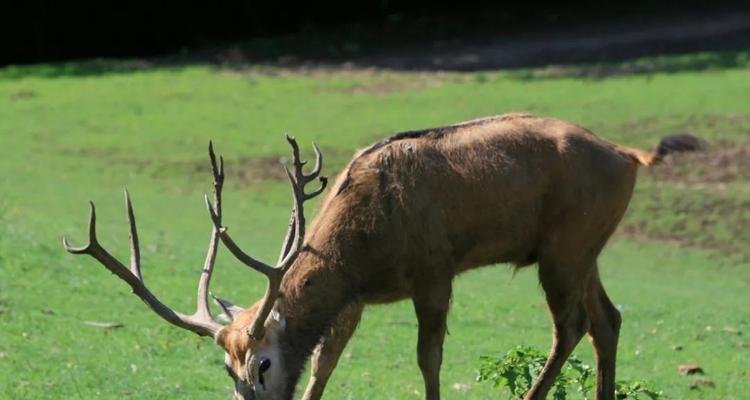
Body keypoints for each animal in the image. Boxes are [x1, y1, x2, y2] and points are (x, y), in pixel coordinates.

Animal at [63, 113, 704, 400]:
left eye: (263, 365)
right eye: (228, 369)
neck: (360, 247)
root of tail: (632, 156)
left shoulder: (434, 270)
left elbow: (429, 358)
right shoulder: (357, 297)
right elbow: (327, 360)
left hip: (564, 249)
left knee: (570, 325)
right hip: (583, 248)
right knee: (608, 319)